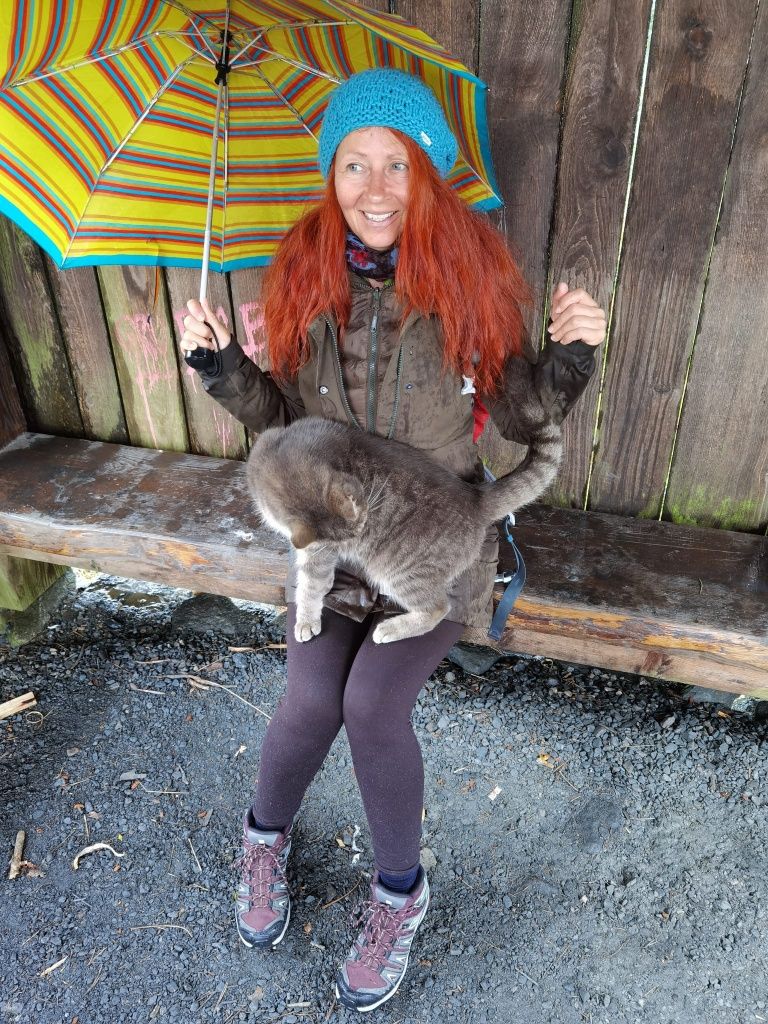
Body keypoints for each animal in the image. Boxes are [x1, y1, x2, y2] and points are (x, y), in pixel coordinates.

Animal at [246, 397, 565, 643]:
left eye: (362, 525)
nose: (362, 532)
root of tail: (476, 496)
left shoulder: (320, 553)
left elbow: (311, 587)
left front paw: (305, 620)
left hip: (400, 570)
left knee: (439, 608)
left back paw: (390, 629)